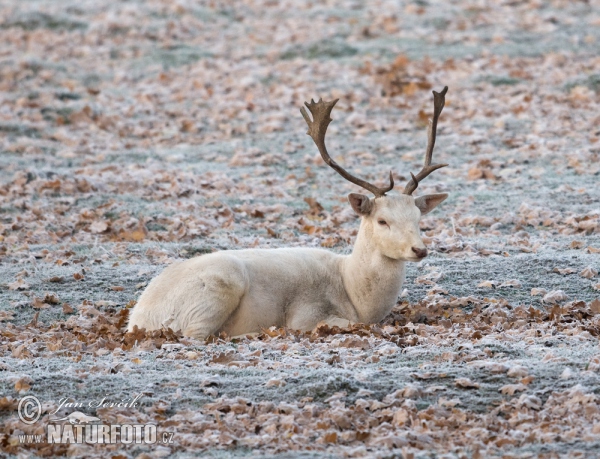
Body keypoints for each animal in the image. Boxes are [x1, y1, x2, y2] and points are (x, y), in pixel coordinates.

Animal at [130, 86, 450, 340]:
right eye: (382, 221)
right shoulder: (307, 313)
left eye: (419, 219)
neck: (355, 295)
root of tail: (138, 318)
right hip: (218, 286)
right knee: (194, 335)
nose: (419, 250)